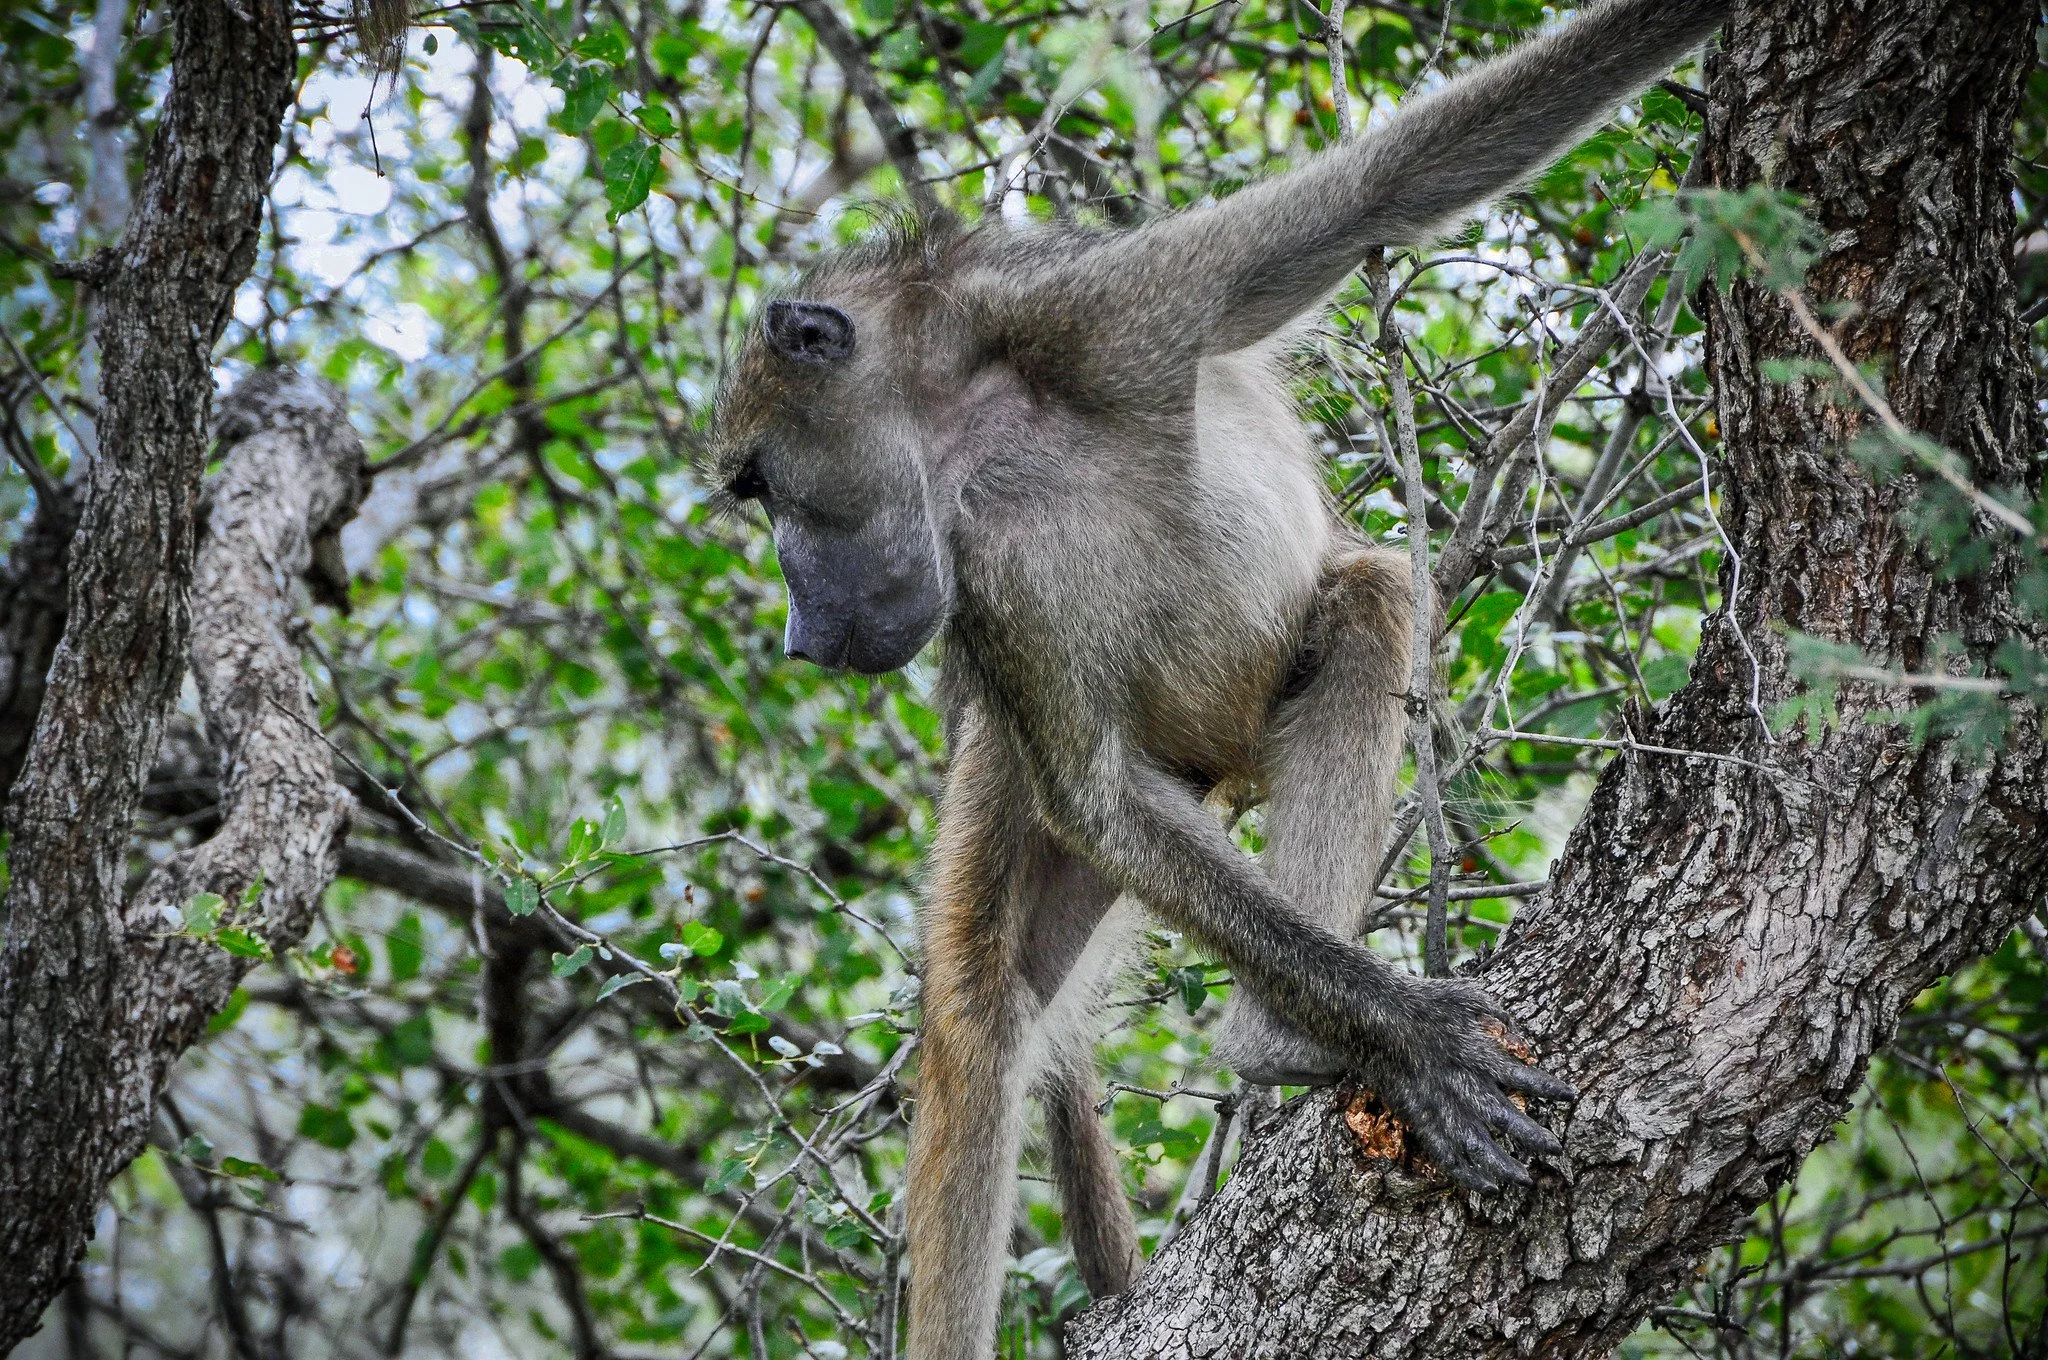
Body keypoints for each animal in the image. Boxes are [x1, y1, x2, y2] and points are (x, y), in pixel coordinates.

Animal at [709, 1, 1731, 1355]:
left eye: (760, 485)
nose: (797, 629)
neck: (977, 434)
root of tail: (1225, 766)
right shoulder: (990, 595)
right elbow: (1090, 799)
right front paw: (1408, 1032)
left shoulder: (1125, 308)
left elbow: (1389, 182)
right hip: (1068, 774)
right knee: (980, 1010)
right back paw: (1278, 1038)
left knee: (1371, 594)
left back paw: (1272, 1036)